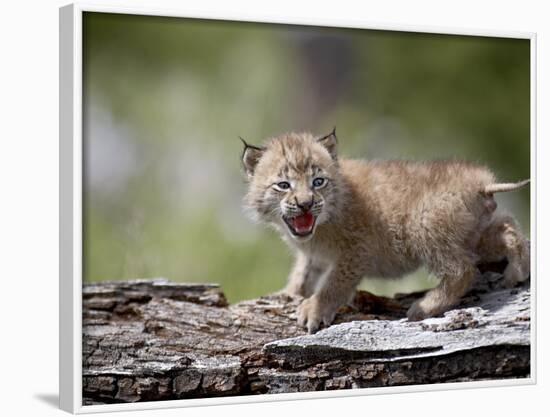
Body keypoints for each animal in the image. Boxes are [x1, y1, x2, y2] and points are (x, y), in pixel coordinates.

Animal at [240, 129, 532, 332]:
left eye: (318, 182)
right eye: (283, 185)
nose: (305, 203)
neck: (322, 225)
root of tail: (481, 183)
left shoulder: (356, 251)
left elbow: (334, 282)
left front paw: (315, 308)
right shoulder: (315, 254)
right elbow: (303, 274)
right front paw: (288, 293)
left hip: (425, 228)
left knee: (463, 270)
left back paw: (423, 307)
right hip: (472, 233)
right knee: (508, 227)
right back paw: (517, 272)